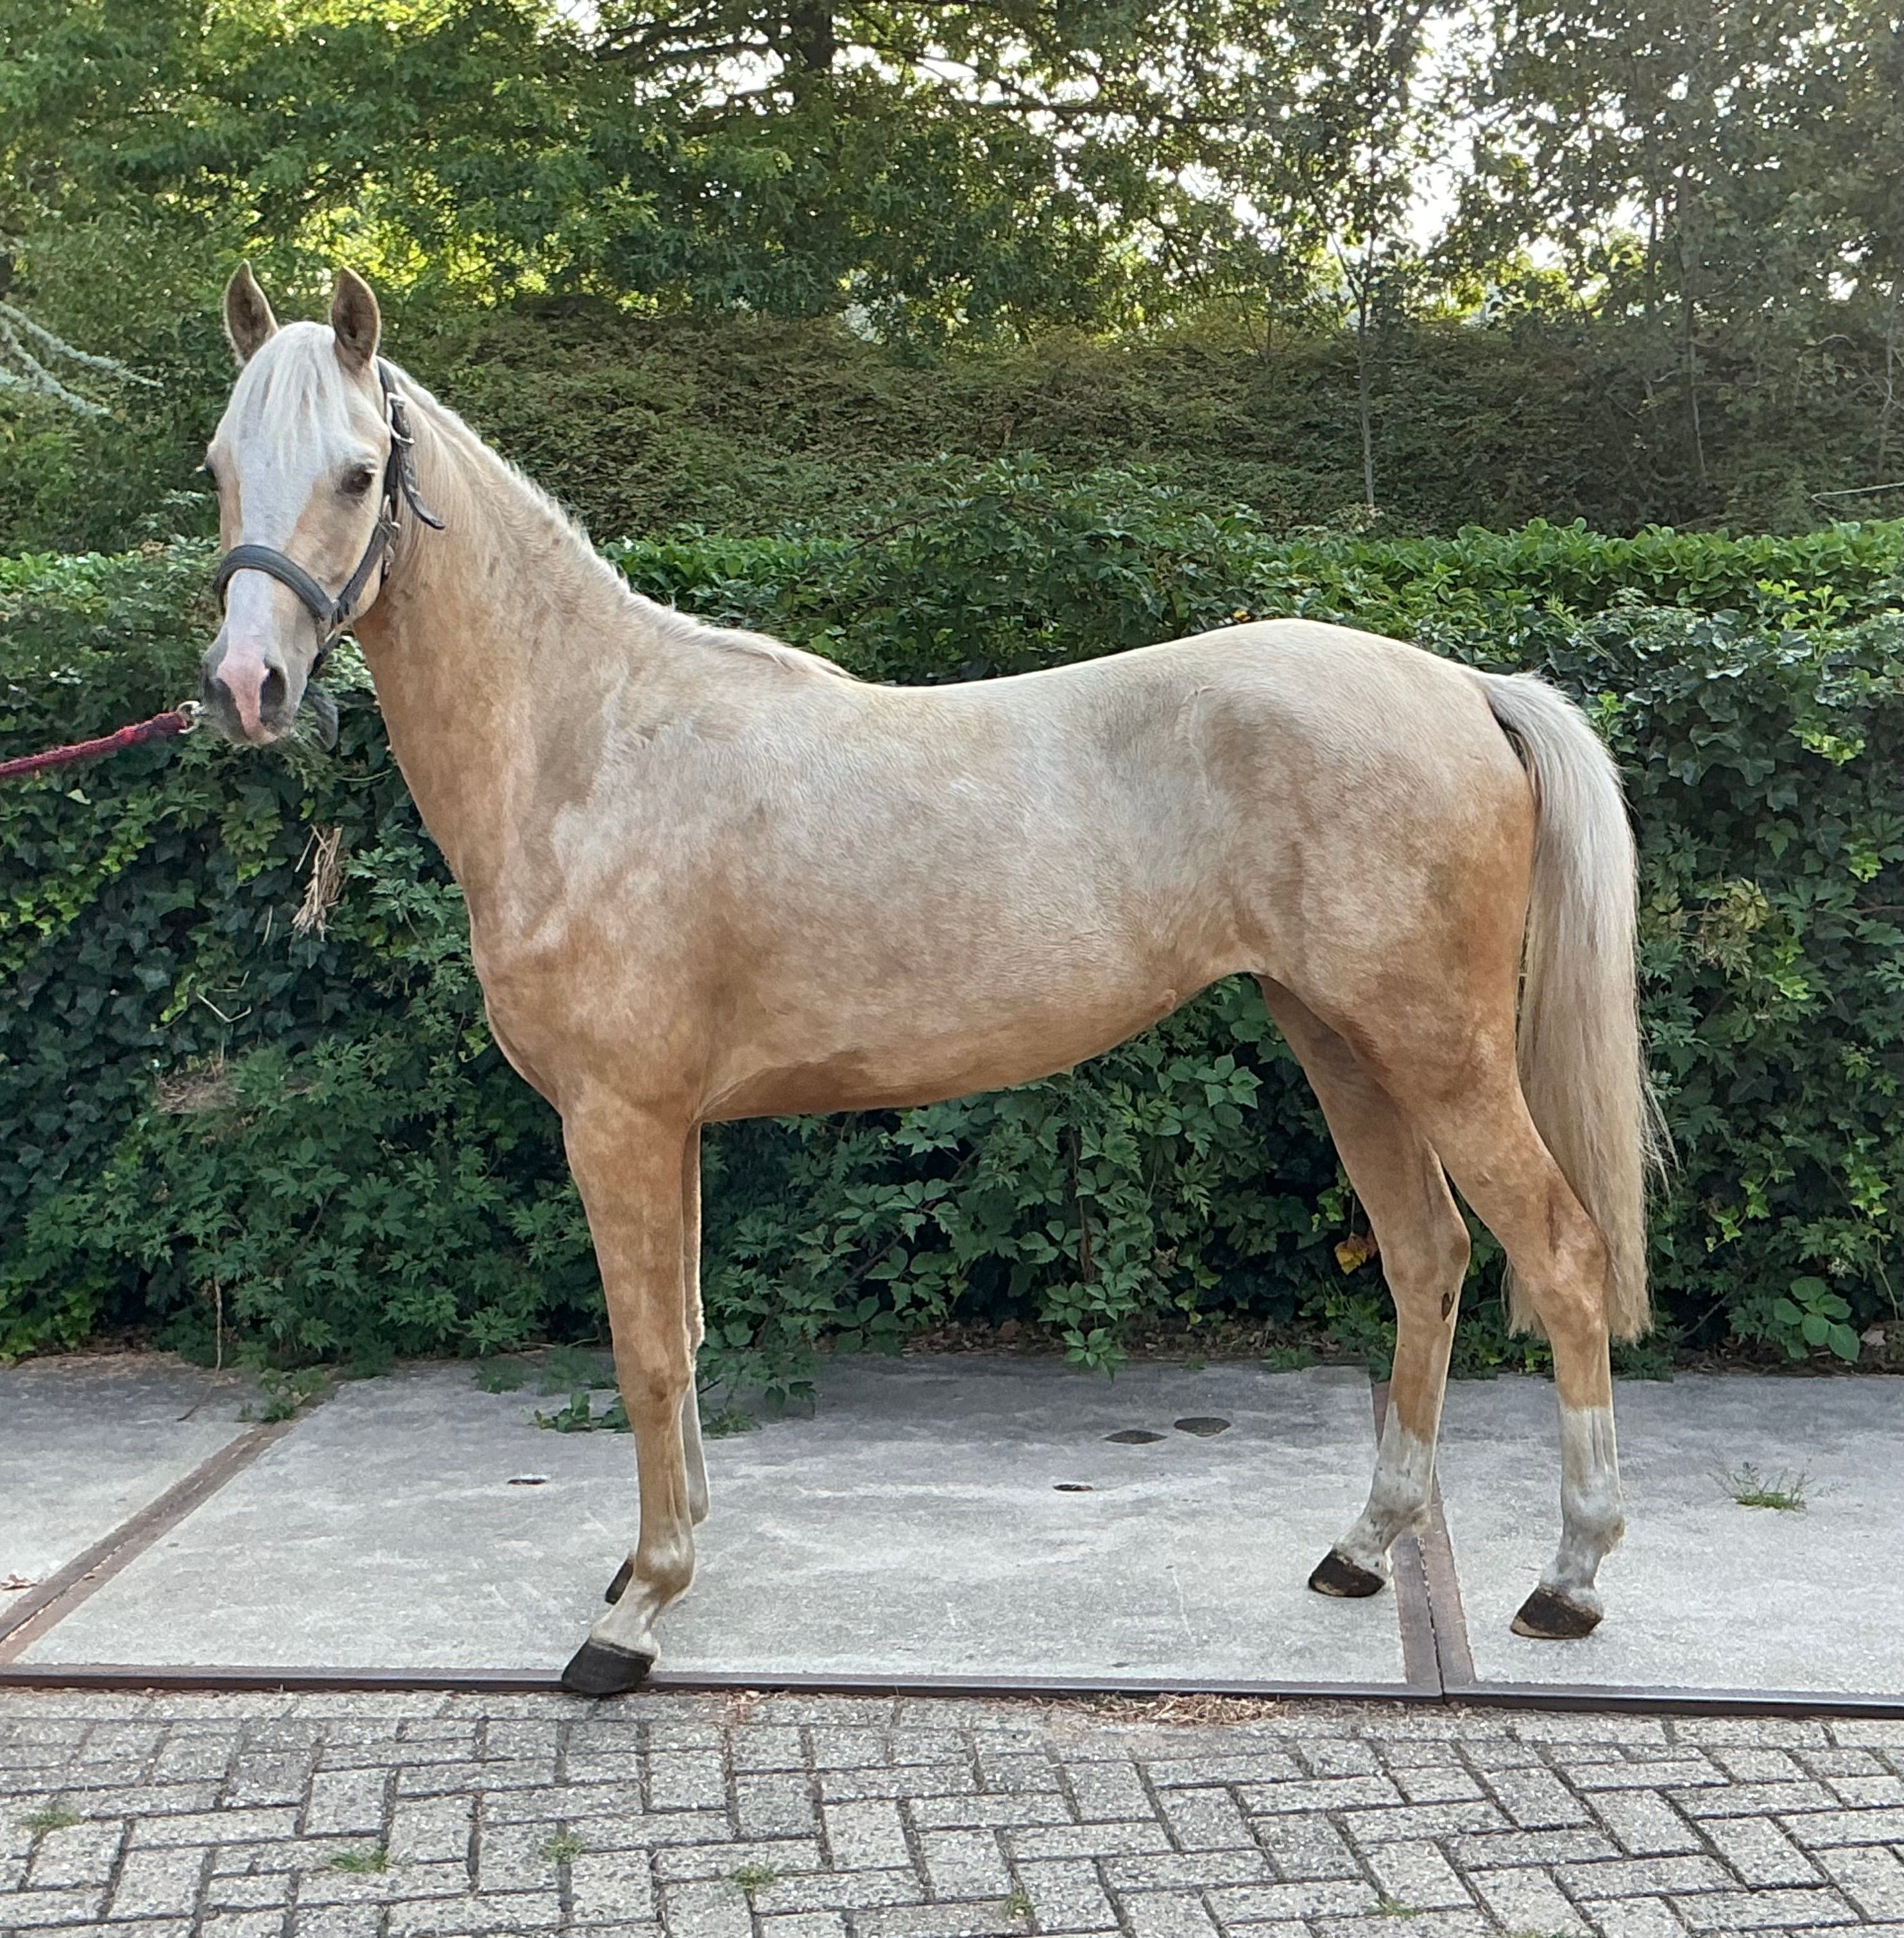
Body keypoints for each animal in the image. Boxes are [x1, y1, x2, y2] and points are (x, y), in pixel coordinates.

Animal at [199, 267, 1661, 1695]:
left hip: (1435, 1048)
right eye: (218, 464)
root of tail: (1463, 688)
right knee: (1426, 1258)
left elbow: (644, 1351)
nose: (244, 686)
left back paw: (1570, 1579)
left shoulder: (617, 1121)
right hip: (1341, 1040)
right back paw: (1363, 1548)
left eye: (354, 474)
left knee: (1560, 1250)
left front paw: (638, 1612)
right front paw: (662, 1562)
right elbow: (687, 1336)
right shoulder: (664, 1128)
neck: (593, 747)